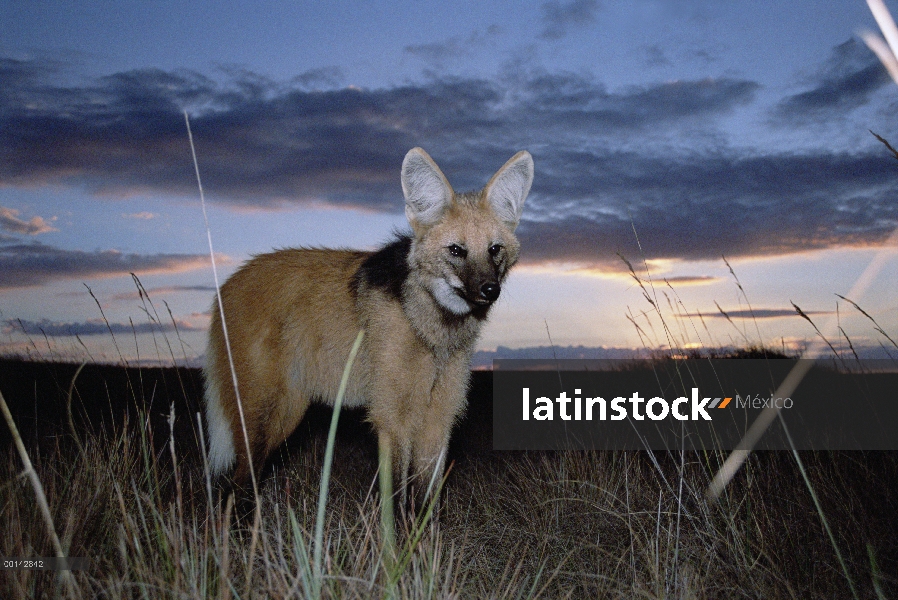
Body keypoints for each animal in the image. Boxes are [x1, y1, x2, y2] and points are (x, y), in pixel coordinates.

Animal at [203, 148, 532, 500]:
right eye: (457, 250)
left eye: (494, 249)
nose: (490, 289)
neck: (432, 329)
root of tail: (227, 286)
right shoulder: (392, 415)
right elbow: (397, 498)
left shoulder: (439, 416)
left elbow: (426, 501)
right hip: (264, 413)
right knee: (235, 485)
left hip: (288, 411)